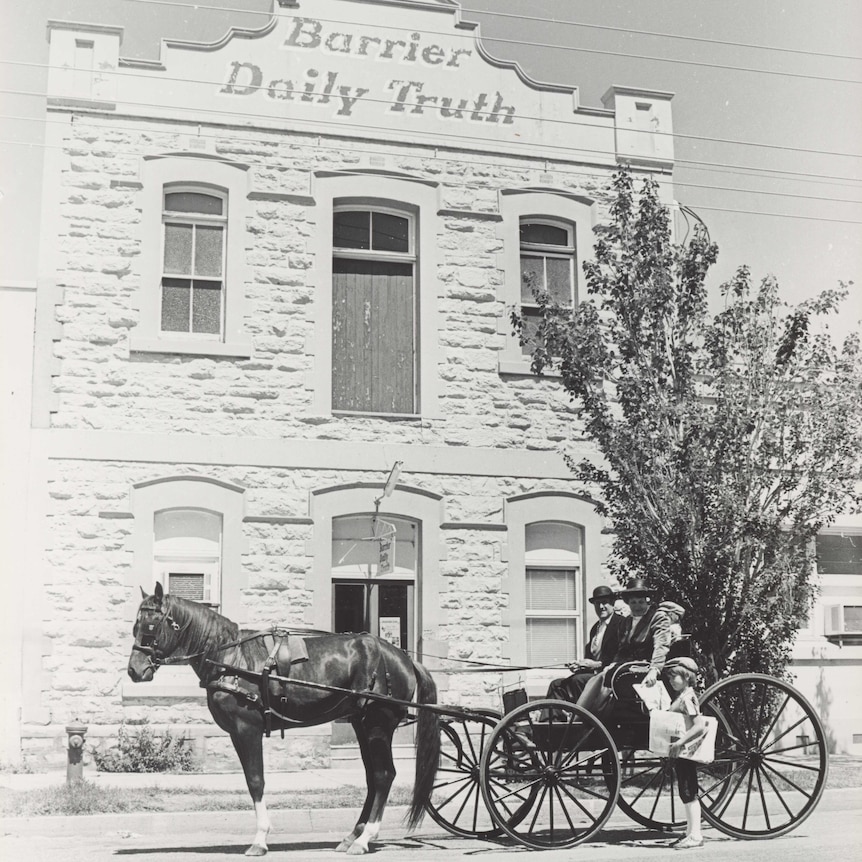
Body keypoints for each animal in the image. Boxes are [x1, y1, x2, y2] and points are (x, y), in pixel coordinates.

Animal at [127, 588, 438, 856]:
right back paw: (353, 835)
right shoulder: (236, 733)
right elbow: (252, 780)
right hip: (362, 725)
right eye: (135, 626)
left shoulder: (247, 729)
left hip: (377, 726)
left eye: (151, 626)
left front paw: (260, 839)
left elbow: (256, 780)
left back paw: (365, 838)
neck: (230, 658)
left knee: (384, 775)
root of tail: (403, 658)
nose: (134, 670)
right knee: (373, 778)